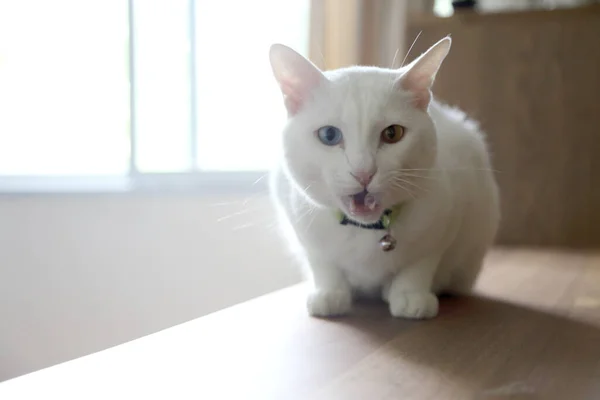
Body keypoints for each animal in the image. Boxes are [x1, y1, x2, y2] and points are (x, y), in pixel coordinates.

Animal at [270, 36, 500, 318]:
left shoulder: (446, 220)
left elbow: (419, 265)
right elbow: (323, 264)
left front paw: (410, 295)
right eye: (329, 135)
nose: (363, 172)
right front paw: (330, 293)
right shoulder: (300, 224)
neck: (366, 229)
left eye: (392, 133)